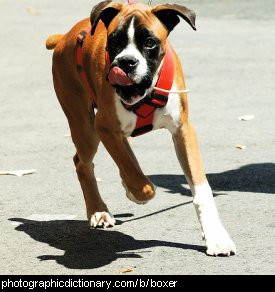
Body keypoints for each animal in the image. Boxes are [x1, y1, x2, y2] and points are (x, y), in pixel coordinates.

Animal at [46, 0, 236, 256]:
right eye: (114, 40)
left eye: (149, 42)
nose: (126, 62)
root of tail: (63, 37)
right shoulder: (106, 128)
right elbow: (140, 181)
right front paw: (135, 192)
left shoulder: (183, 131)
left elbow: (201, 189)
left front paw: (216, 237)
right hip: (85, 127)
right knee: (83, 164)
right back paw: (98, 210)